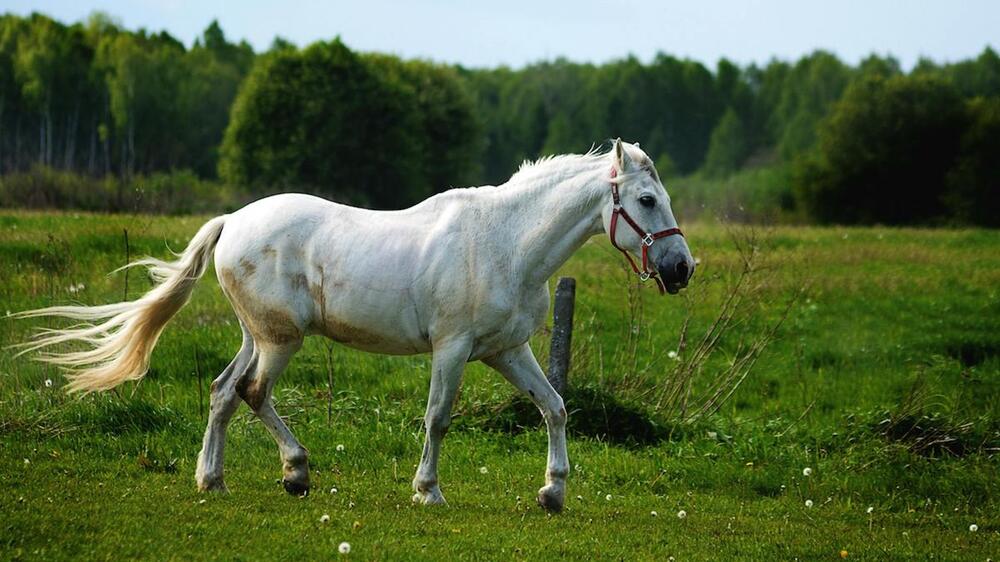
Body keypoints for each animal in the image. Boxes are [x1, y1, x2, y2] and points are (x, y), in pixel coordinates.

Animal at [21, 138, 696, 510]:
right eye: (645, 200)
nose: (680, 268)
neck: (505, 242)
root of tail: (232, 220)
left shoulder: (507, 350)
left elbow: (554, 407)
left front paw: (553, 493)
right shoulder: (452, 349)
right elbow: (438, 418)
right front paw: (428, 491)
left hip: (257, 335)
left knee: (222, 392)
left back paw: (212, 480)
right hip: (281, 340)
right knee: (251, 392)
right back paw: (295, 473)